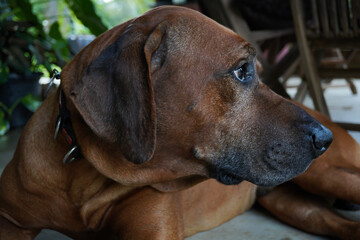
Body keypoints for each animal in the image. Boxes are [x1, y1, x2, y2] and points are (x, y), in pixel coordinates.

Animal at [2, 6, 358, 239]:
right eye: (242, 70)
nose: (324, 139)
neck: (84, 179)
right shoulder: (11, 221)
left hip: (329, 174)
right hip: (294, 205)